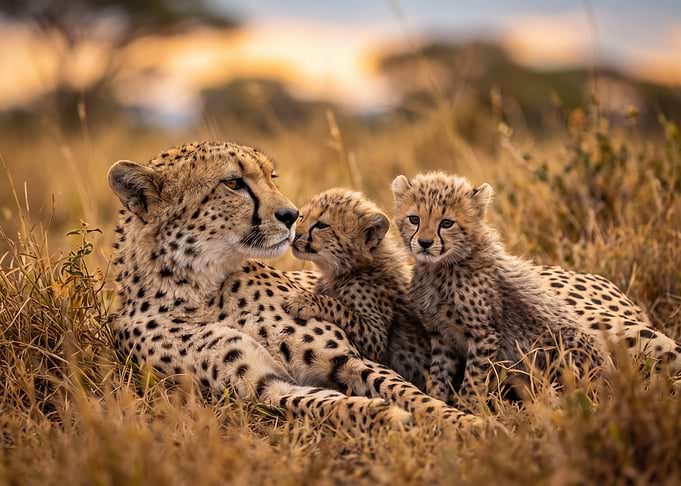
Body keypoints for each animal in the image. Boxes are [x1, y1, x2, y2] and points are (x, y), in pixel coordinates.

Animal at [281, 188, 456, 392]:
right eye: (302, 217)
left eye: (321, 225)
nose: (295, 235)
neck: (352, 268)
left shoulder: (375, 338)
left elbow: (338, 306)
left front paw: (304, 300)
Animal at [391, 171, 681, 404]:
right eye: (414, 219)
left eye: (446, 223)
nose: (425, 243)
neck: (440, 268)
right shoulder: (441, 336)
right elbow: (438, 376)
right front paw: (438, 401)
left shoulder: (484, 335)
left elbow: (473, 381)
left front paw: (468, 411)